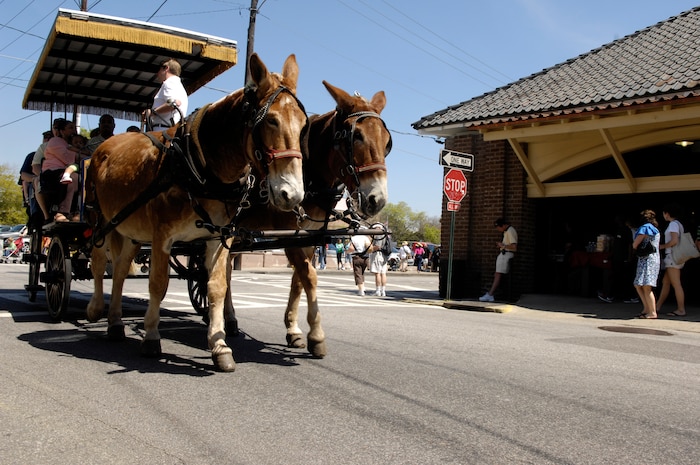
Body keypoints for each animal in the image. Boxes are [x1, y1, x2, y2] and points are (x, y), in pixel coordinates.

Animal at [85, 54, 308, 372]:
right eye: (271, 120)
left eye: (303, 125)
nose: (293, 194)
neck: (201, 167)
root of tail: (104, 146)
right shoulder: (162, 237)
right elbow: (158, 284)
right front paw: (151, 337)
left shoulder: (218, 238)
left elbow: (216, 287)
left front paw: (220, 345)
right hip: (100, 220)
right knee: (98, 261)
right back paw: (95, 308)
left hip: (130, 230)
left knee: (120, 269)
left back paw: (115, 322)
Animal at [227, 80, 391, 358]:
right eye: (356, 136)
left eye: (387, 142)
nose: (376, 199)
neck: (310, 177)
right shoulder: (288, 236)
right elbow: (310, 277)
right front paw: (316, 335)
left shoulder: (308, 238)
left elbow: (298, 280)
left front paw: (293, 329)